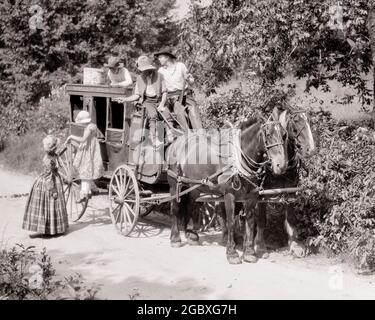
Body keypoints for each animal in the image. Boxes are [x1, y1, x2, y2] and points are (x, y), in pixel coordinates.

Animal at [166, 116, 290, 264]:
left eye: (284, 135)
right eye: (268, 135)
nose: (281, 165)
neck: (239, 160)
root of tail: (176, 142)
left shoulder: (252, 196)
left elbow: (250, 221)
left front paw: (249, 253)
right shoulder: (229, 195)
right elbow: (230, 222)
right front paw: (232, 253)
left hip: (193, 186)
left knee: (192, 205)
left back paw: (192, 235)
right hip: (175, 183)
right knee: (175, 209)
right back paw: (175, 238)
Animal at [256, 107, 318, 258]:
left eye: (309, 121)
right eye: (296, 122)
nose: (312, 150)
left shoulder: (291, 192)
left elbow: (291, 219)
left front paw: (294, 244)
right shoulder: (261, 195)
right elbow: (261, 220)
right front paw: (260, 246)